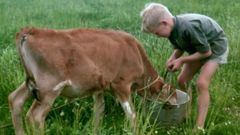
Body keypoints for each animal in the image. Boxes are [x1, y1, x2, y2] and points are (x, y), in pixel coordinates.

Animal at [7, 26, 165, 134]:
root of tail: (32, 30)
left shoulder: (99, 88)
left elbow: (99, 111)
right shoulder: (122, 84)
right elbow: (131, 114)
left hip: (31, 83)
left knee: (15, 99)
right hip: (49, 88)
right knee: (36, 116)